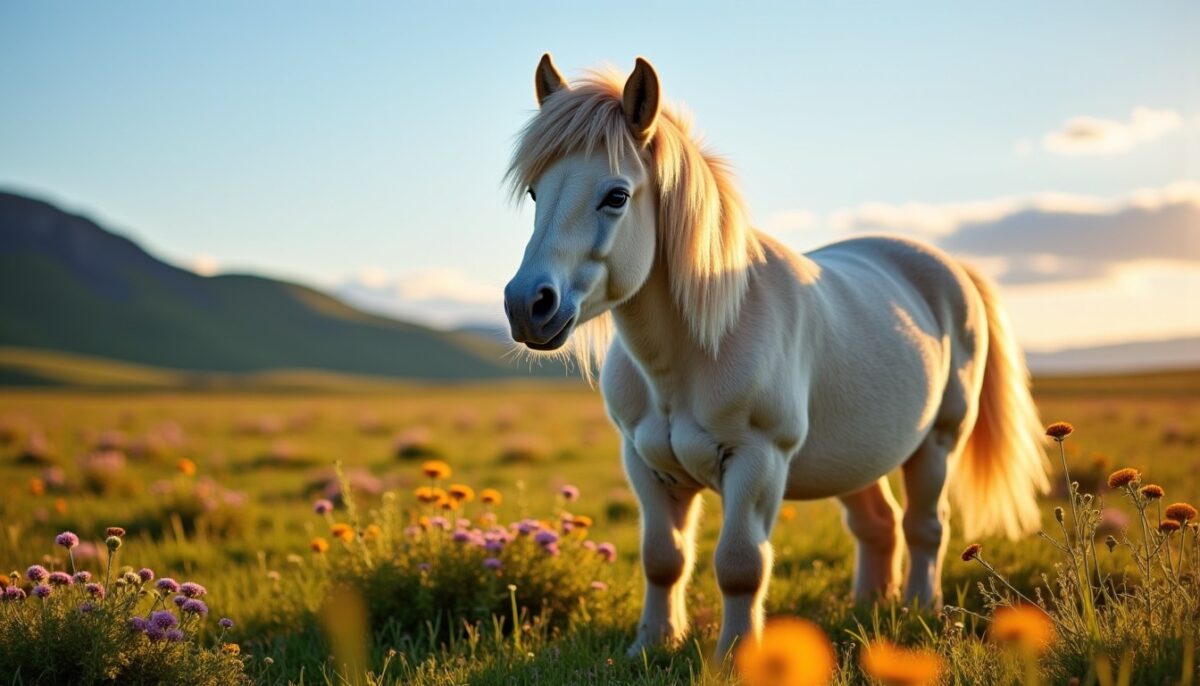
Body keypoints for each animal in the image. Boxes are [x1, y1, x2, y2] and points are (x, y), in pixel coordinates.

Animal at [502, 53, 1050, 660]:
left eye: (616, 195)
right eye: (534, 193)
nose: (527, 305)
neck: (690, 357)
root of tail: (952, 269)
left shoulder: (757, 460)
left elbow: (741, 566)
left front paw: (736, 657)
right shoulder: (646, 465)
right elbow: (663, 560)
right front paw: (652, 644)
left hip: (938, 442)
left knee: (926, 526)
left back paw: (919, 607)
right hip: (856, 455)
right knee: (878, 524)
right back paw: (871, 606)